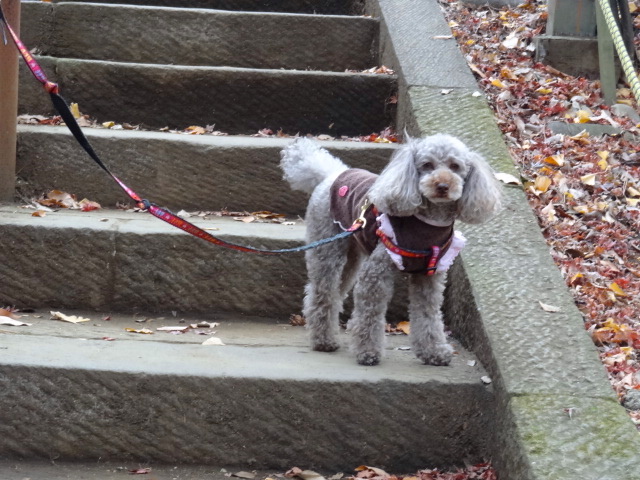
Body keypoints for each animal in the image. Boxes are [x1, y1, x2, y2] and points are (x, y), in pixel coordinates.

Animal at [282, 133, 502, 366]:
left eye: (455, 166)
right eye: (427, 165)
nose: (442, 185)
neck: (430, 223)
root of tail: (333, 173)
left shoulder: (429, 276)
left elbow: (428, 313)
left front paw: (434, 352)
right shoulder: (377, 271)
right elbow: (371, 312)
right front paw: (367, 351)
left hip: (352, 254)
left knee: (336, 293)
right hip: (327, 245)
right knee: (321, 291)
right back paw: (323, 340)